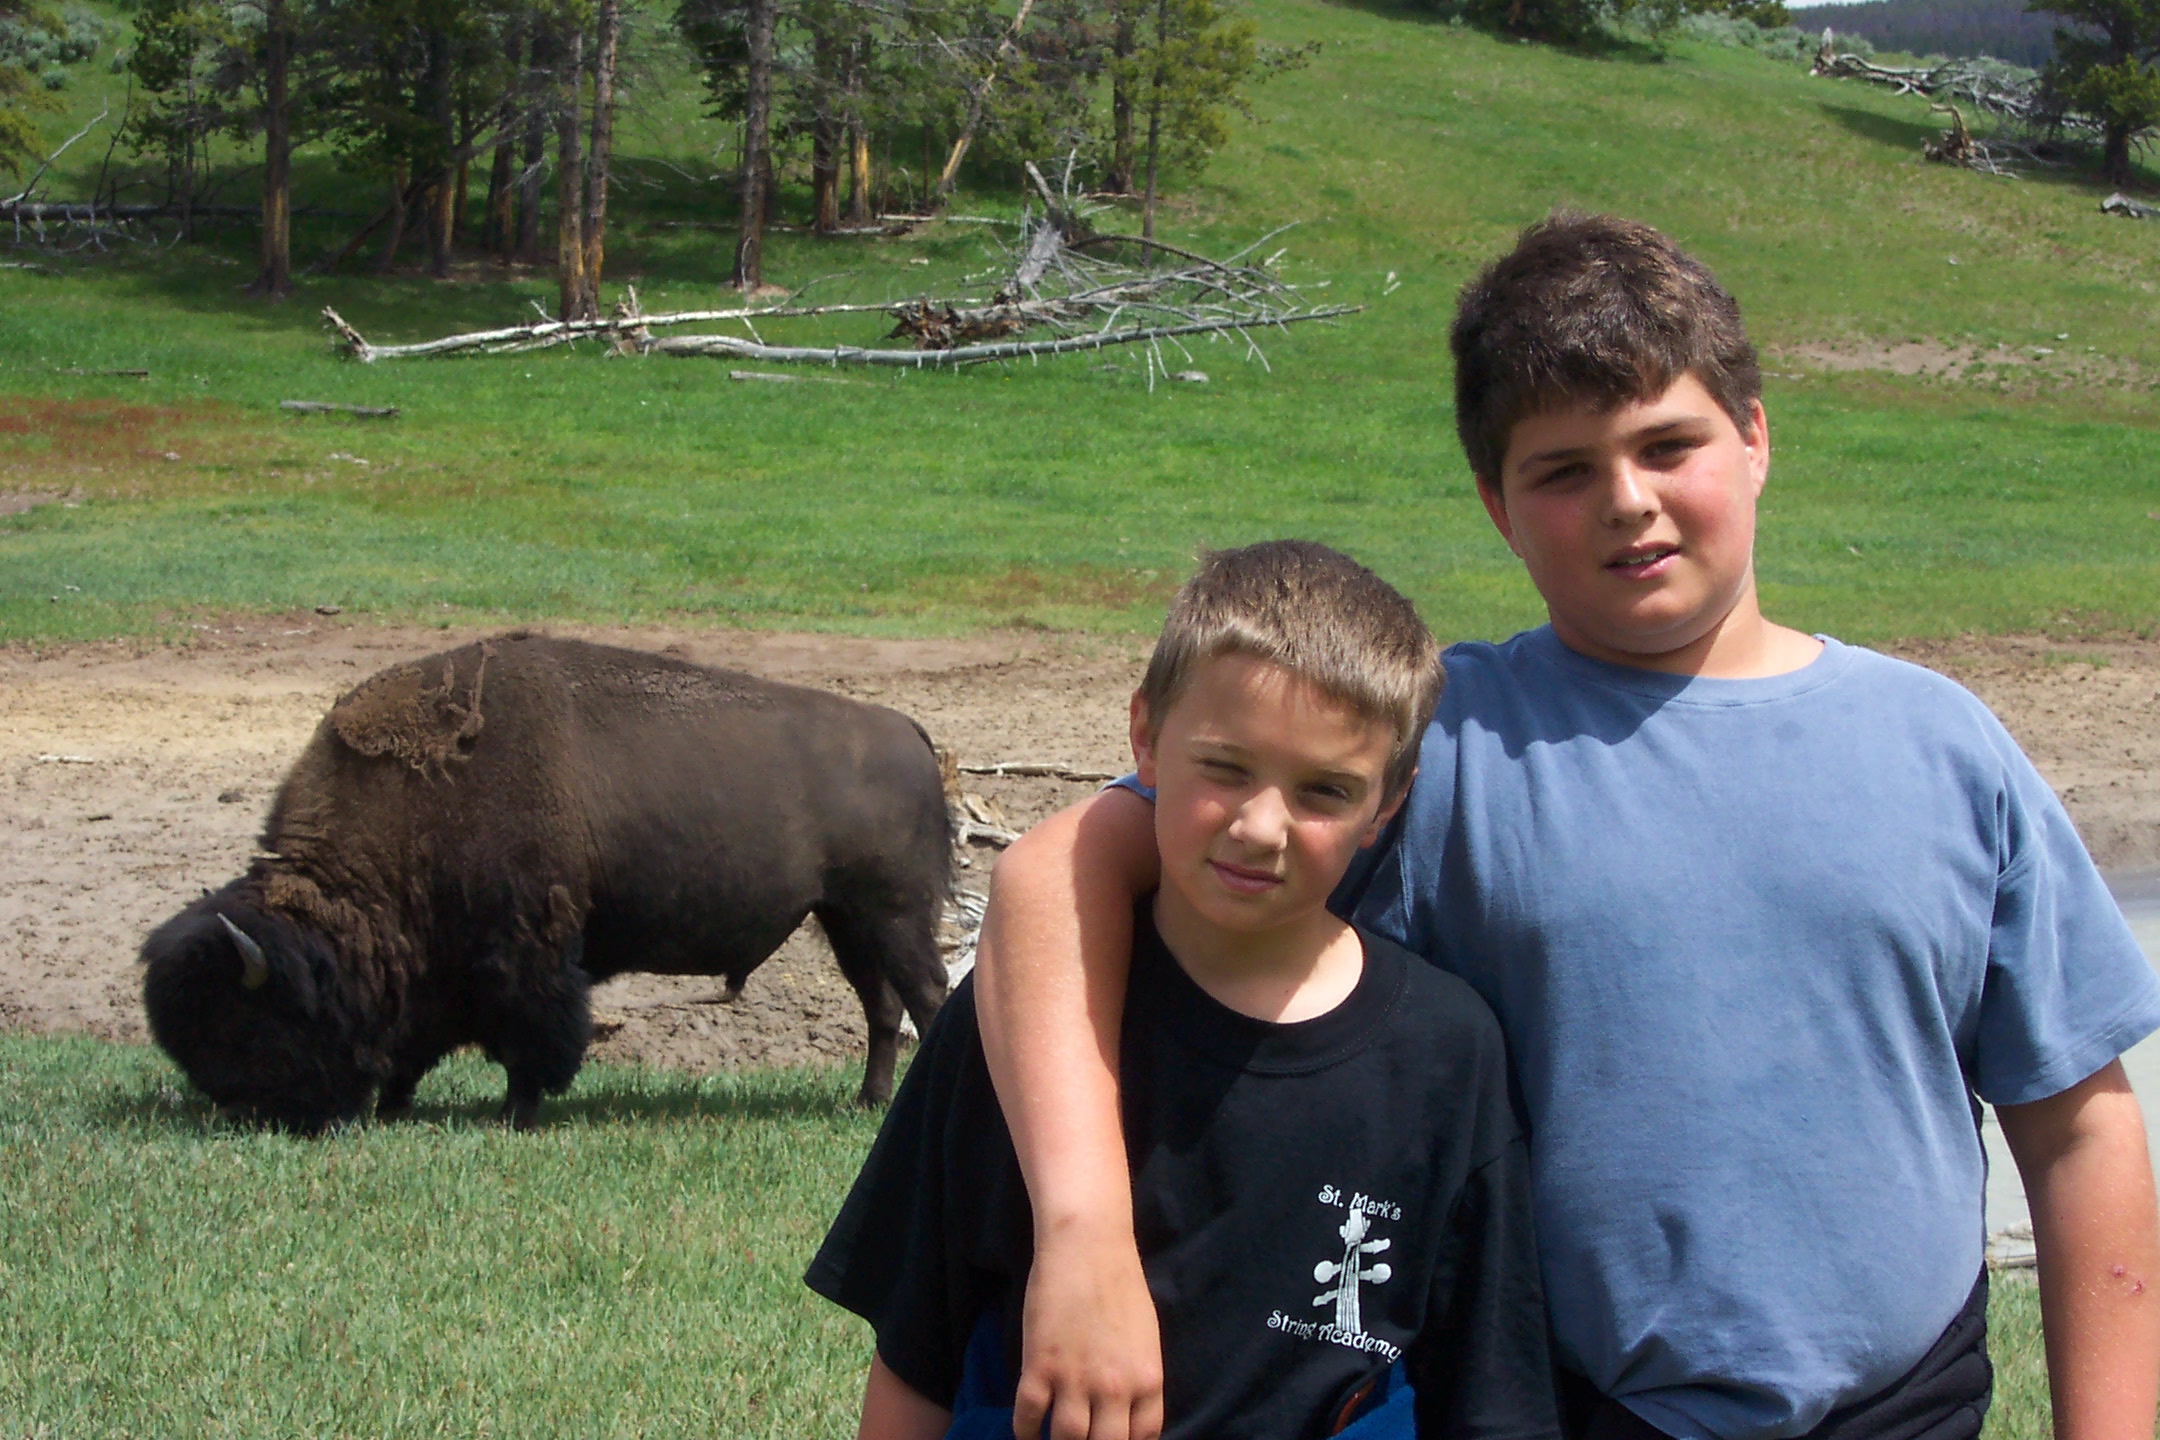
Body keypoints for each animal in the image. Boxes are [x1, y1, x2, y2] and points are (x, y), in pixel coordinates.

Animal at [135, 634, 946, 1131]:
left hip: (894, 916)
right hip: (845, 921)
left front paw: (514, 1114)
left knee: (927, 996)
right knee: (882, 1009)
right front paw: (398, 1104)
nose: (246, 1116)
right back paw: (866, 1102)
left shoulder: (528, 952)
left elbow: (532, 1035)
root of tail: (907, 730)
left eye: (248, 1024)